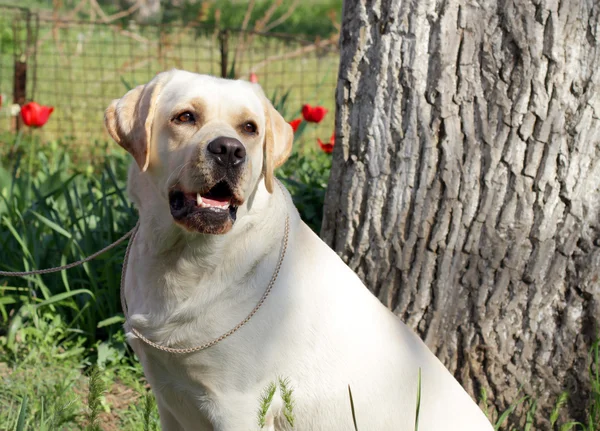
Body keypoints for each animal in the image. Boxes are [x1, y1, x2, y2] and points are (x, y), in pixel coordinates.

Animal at [106, 69, 492, 430]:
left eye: (249, 128)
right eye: (185, 117)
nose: (230, 150)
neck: (186, 260)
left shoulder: (238, 406)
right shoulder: (168, 396)